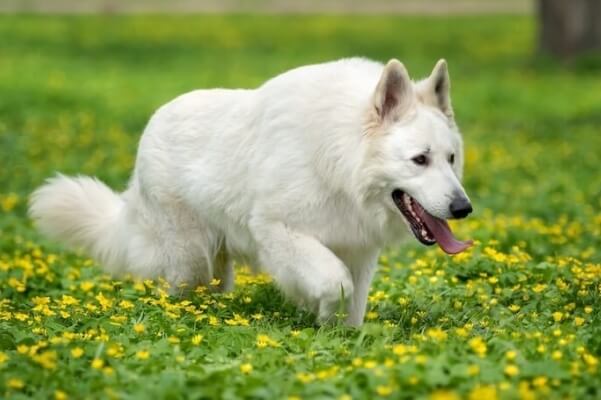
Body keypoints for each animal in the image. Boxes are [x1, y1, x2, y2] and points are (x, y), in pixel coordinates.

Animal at [29, 57, 474, 324]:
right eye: (420, 160)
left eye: (451, 159)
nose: (463, 208)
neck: (338, 156)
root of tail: (154, 121)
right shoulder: (278, 231)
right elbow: (336, 282)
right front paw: (321, 316)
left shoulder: (359, 249)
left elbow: (354, 302)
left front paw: (342, 337)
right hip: (190, 261)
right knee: (180, 292)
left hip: (214, 263)